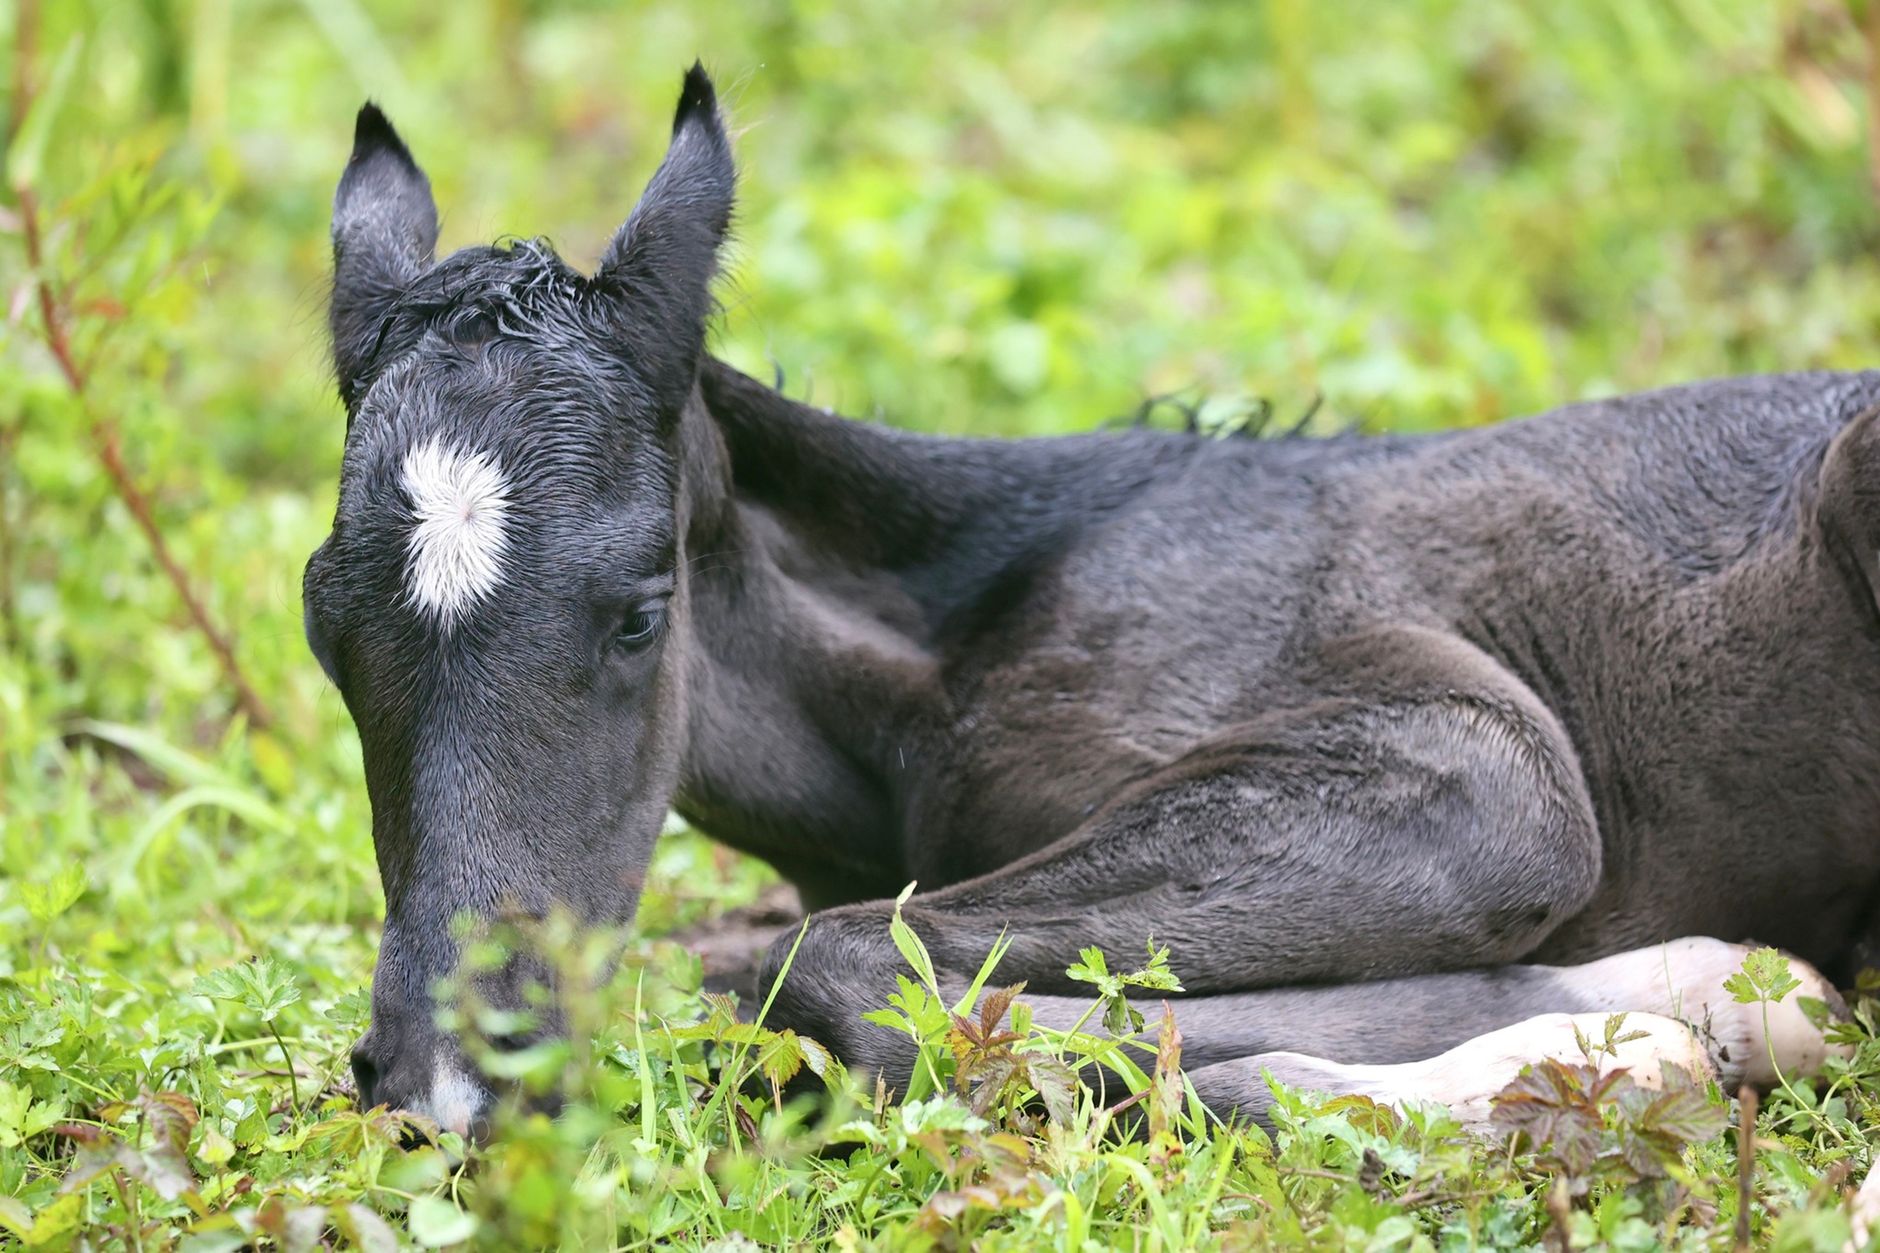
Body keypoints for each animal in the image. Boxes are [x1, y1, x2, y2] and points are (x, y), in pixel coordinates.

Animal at [304, 65, 1876, 1137]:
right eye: (325, 630)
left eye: (637, 608)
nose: (443, 1084)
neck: (946, 662)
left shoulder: (1474, 765)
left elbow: (834, 963)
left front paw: (1618, 1037)